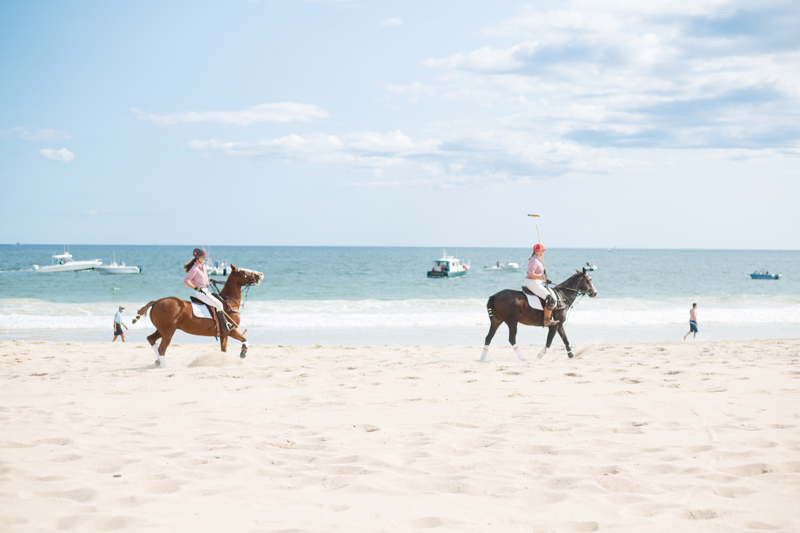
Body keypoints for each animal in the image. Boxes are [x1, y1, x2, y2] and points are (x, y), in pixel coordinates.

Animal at [133, 264, 264, 362]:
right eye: (244, 271)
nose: (261, 274)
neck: (229, 301)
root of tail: (156, 301)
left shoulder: (223, 334)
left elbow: (224, 350)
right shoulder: (231, 330)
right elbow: (244, 339)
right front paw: (243, 354)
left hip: (161, 329)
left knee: (151, 339)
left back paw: (158, 362)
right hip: (168, 331)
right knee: (162, 348)